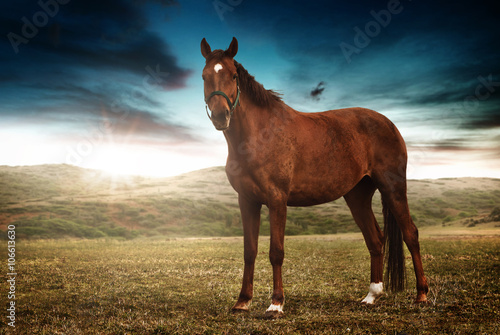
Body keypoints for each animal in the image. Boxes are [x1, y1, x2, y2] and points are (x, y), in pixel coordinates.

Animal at [201, 37, 428, 320]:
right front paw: (242, 301)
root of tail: (389, 124)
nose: (221, 116)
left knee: (411, 234)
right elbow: (249, 251)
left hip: (392, 187)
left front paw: (276, 304)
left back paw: (421, 295)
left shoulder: (277, 199)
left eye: (233, 75)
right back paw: (371, 296)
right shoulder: (247, 200)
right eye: (204, 76)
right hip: (357, 196)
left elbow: (276, 251)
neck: (259, 135)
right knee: (375, 239)